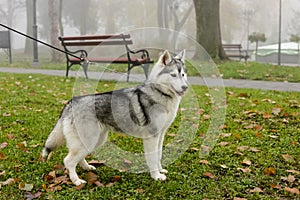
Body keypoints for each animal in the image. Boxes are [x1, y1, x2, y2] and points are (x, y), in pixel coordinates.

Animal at [42, 50, 188, 186]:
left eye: (182, 75)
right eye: (173, 75)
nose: (185, 87)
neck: (160, 93)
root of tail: (72, 102)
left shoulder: (160, 135)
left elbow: (158, 155)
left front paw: (160, 170)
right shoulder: (151, 137)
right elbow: (152, 158)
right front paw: (156, 176)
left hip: (95, 140)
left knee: (78, 158)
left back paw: (87, 167)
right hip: (89, 140)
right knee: (68, 161)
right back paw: (76, 181)